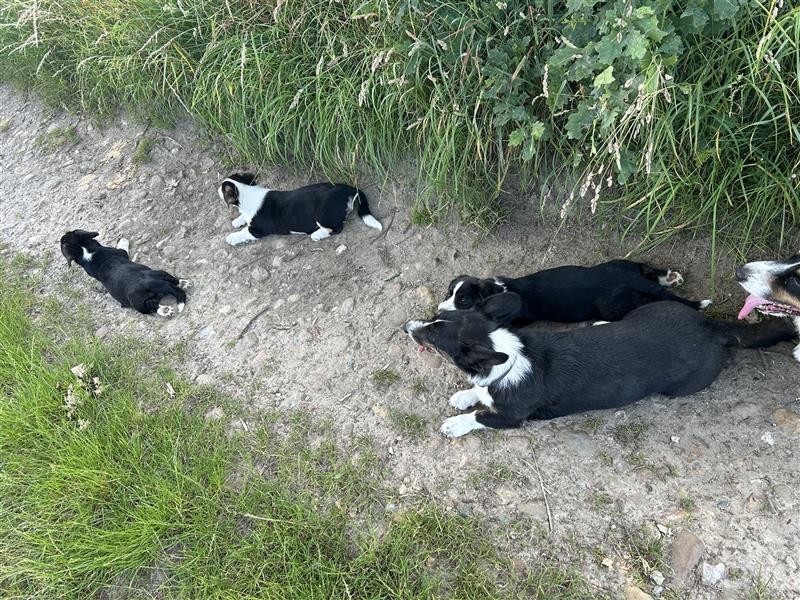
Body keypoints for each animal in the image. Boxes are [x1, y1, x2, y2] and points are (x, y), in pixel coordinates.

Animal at [61, 227, 189, 316]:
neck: (84, 251)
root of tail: (147, 283)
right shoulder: (121, 252)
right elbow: (123, 247)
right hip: (149, 288)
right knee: (158, 300)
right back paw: (169, 305)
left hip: (148, 290)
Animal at [217, 172, 382, 247]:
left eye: (223, 190)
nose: (217, 189)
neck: (247, 192)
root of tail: (347, 189)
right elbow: (243, 218)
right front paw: (237, 221)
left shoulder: (258, 230)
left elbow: (244, 232)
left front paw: (232, 237)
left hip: (322, 214)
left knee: (336, 228)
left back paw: (317, 234)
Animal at [404, 294, 796, 438]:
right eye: (435, 317)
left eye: (436, 334)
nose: (407, 326)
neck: (509, 358)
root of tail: (713, 327)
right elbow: (477, 393)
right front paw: (465, 395)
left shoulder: (512, 419)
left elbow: (482, 416)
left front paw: (456, 423)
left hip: (682, 386)